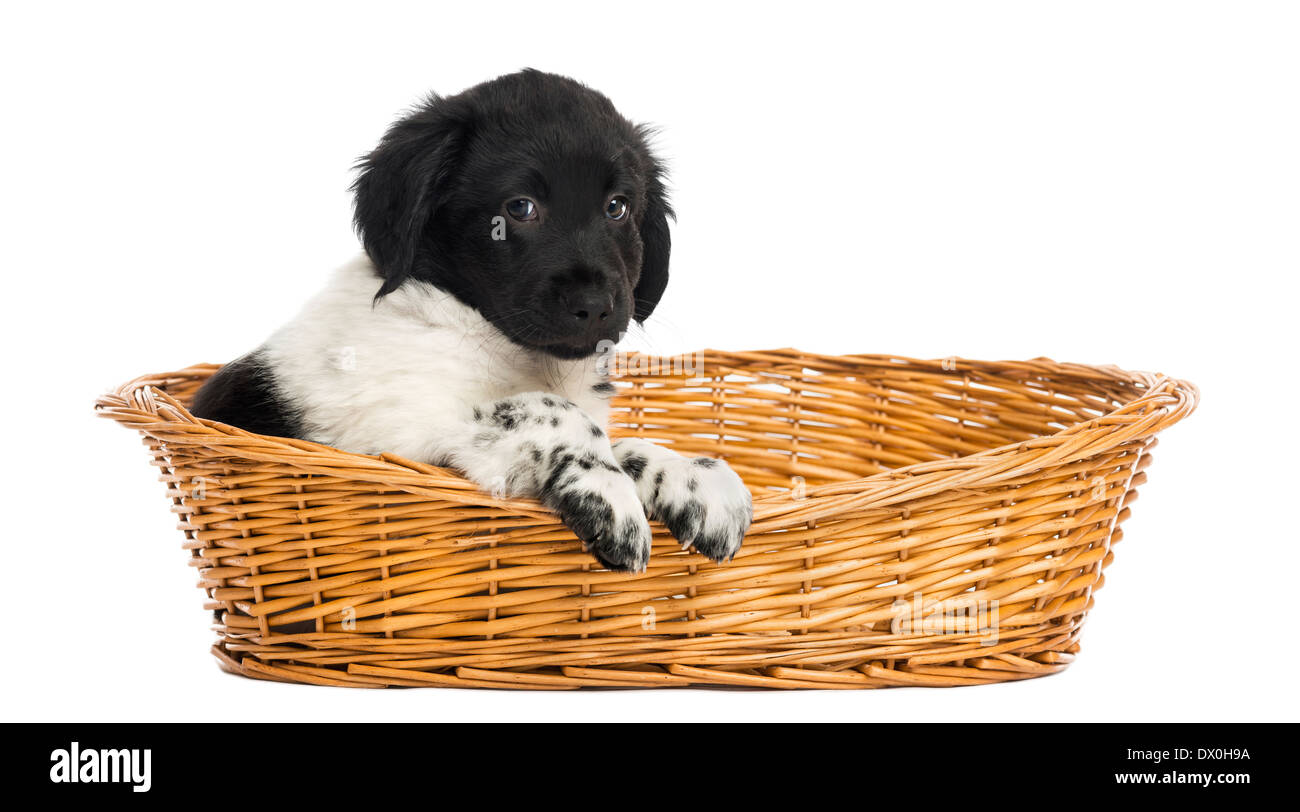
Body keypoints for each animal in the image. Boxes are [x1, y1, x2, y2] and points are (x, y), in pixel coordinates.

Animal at [189, 71, 754, 576]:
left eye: (618, 207)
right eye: (520, 208)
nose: (596, 305)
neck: (488, 339)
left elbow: (627, 444)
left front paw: (694, 477)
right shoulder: (398, 437)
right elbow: (553, 412)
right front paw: (608, 493)